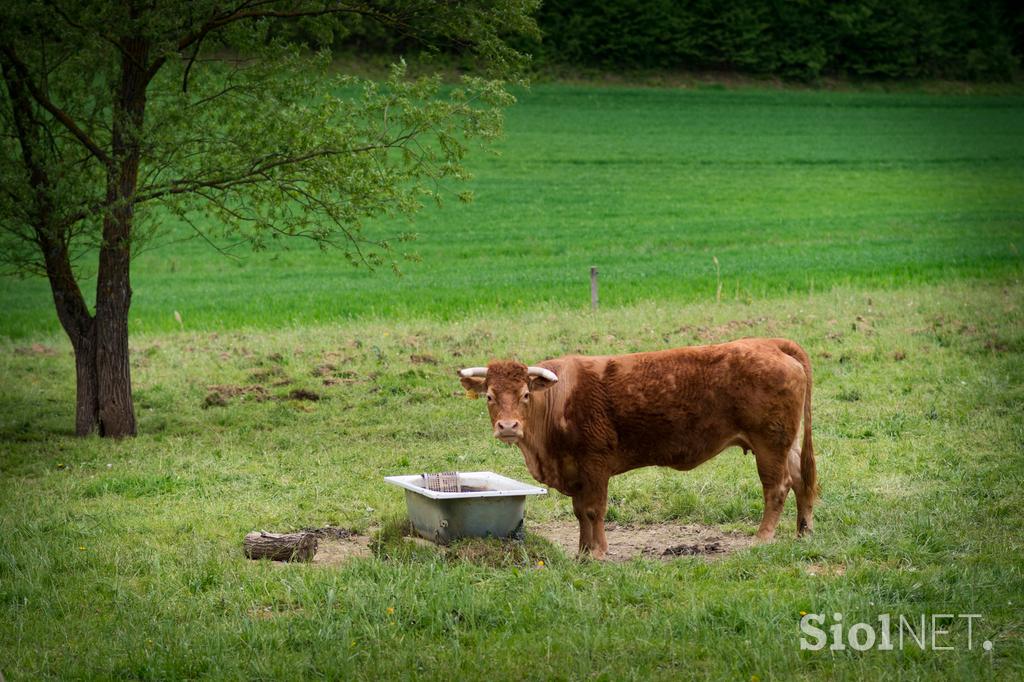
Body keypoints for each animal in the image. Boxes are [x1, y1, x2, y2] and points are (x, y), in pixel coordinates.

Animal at [460, 339, 819, 557]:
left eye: (525, 395)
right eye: (489, 396)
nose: (508, 426)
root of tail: (770, 343)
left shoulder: (595, 465)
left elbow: (594, 510)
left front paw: (599, 552)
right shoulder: (576, 471)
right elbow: (579, 512)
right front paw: (582, 551)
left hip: (769, 444)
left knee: (777, 488)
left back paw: (762, 538)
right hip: (785, 444)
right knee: (802, 481)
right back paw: (803, 532)